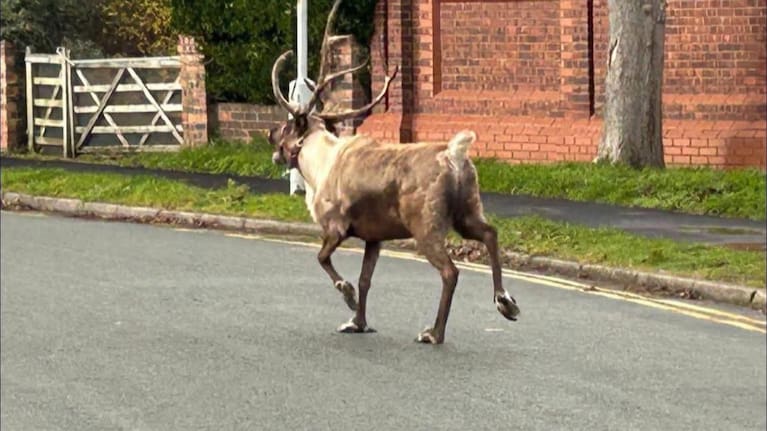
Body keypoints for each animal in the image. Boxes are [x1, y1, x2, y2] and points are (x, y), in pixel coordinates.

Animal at [267, 0, 520, 344]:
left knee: (450, 271)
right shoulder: (375, 236)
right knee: (491, 234)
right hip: (466, 211)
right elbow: (365, 279)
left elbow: (323, 259)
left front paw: (347, 296)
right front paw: (357, 322)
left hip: (426, 224)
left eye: (288, 125)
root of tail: (455, 155)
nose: (269, 134)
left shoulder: (336, 226)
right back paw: (505, 302)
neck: (317, 166)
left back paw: (434, 332)